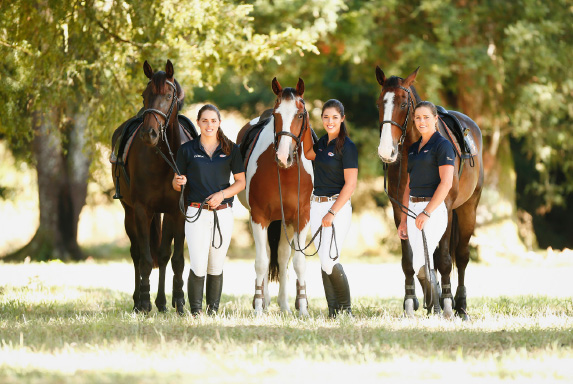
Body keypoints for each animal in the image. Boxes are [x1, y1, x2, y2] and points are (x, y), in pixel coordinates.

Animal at [109, 59, 185, 312]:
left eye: (169, 95)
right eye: (145, 95)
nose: (149, 133)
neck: (163, 159)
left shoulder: (177, 212)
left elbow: (174, 258)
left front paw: (178, 301)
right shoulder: (142, 211)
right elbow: (144, 259)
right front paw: (143, 301)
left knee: (162, 254)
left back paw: (161, 302)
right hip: (129, 212)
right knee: (136, 254)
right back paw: (137, 300)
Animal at [236, 76, 312, 316]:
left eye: (300, 114)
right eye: (276, 116)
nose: (283, 157)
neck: (285, 173)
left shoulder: (301, 218)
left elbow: (297, 262)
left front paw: (302, 308)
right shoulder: (259, 216)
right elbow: (261, 261)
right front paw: (259, 306)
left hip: (284, 222)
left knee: (282, 257)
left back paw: (285, 305)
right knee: (268, 255)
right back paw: (265, 300)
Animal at [376, 67, 482, 320]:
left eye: (403, 104)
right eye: (378, 104)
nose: (386, 151)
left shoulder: (446, 208)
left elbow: (444, 260)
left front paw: (447, 305)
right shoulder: (400, 211)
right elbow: (409, 261)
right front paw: (410, 302)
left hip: (467, 210)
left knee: (461, 257)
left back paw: (460, 305)